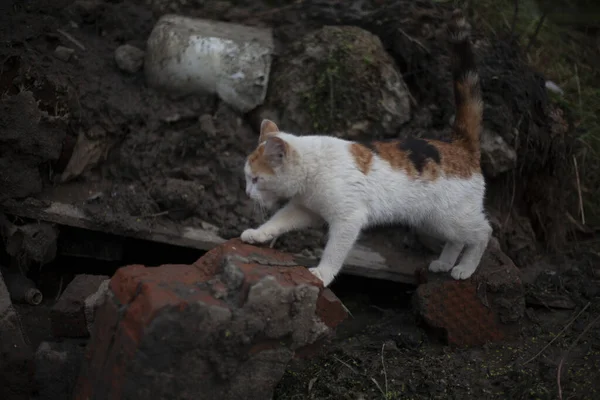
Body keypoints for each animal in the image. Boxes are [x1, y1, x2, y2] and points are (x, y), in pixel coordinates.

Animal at [239, 10, 492, 288]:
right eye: (247, 178)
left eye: (256, 179)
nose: (247, 193)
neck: (314, 169)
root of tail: (460, 146)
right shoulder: (303, 209)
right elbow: (278, 221)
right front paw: (258, 234)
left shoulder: (349, 219)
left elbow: (334, 251)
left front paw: (322, 274)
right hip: (432, 222)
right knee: (457, 239)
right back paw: (445, 263)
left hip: (451, 217)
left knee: (483, 232)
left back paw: (465, 268)